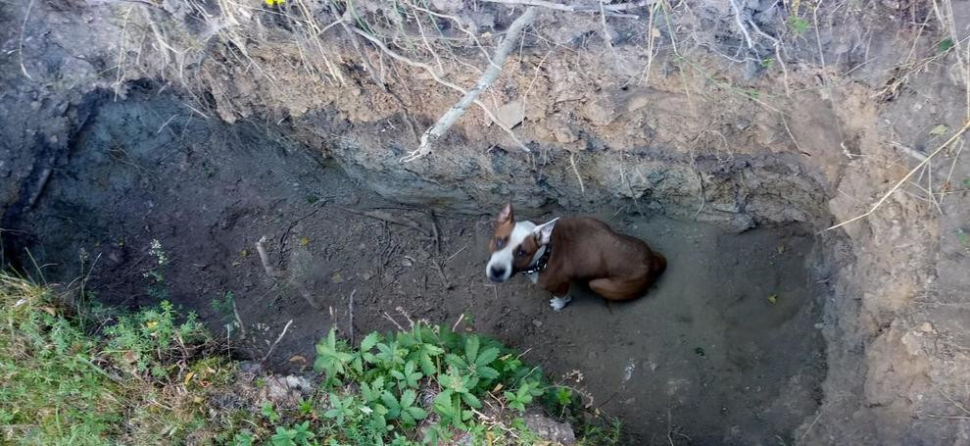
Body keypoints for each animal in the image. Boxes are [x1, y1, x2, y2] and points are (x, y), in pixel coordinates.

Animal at [484, 205, 664, 310]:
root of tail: (651, 261)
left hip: (599, 284)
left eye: (522, 253)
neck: (545, 254)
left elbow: (561, 296)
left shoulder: (559, 284)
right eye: (498, 242)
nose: (497, 271)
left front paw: (560, 303)